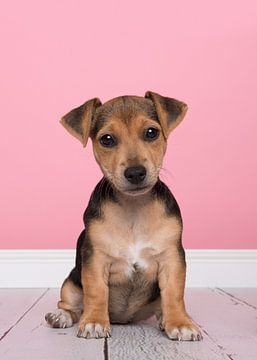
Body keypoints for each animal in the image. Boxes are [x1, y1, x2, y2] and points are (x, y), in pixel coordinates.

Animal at [45, 91, 202, 342]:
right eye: (107, 139)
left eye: (151, 132)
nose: (135, 173)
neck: (134, 207)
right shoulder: (95, 260)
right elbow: (96, 292)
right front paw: (94, 322)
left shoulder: (172, 259)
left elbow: (174, 294)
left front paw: (180, 323)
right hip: (71, 283)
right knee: (71, 304)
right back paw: (61, 316)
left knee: (161, 305)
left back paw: (163, 319)